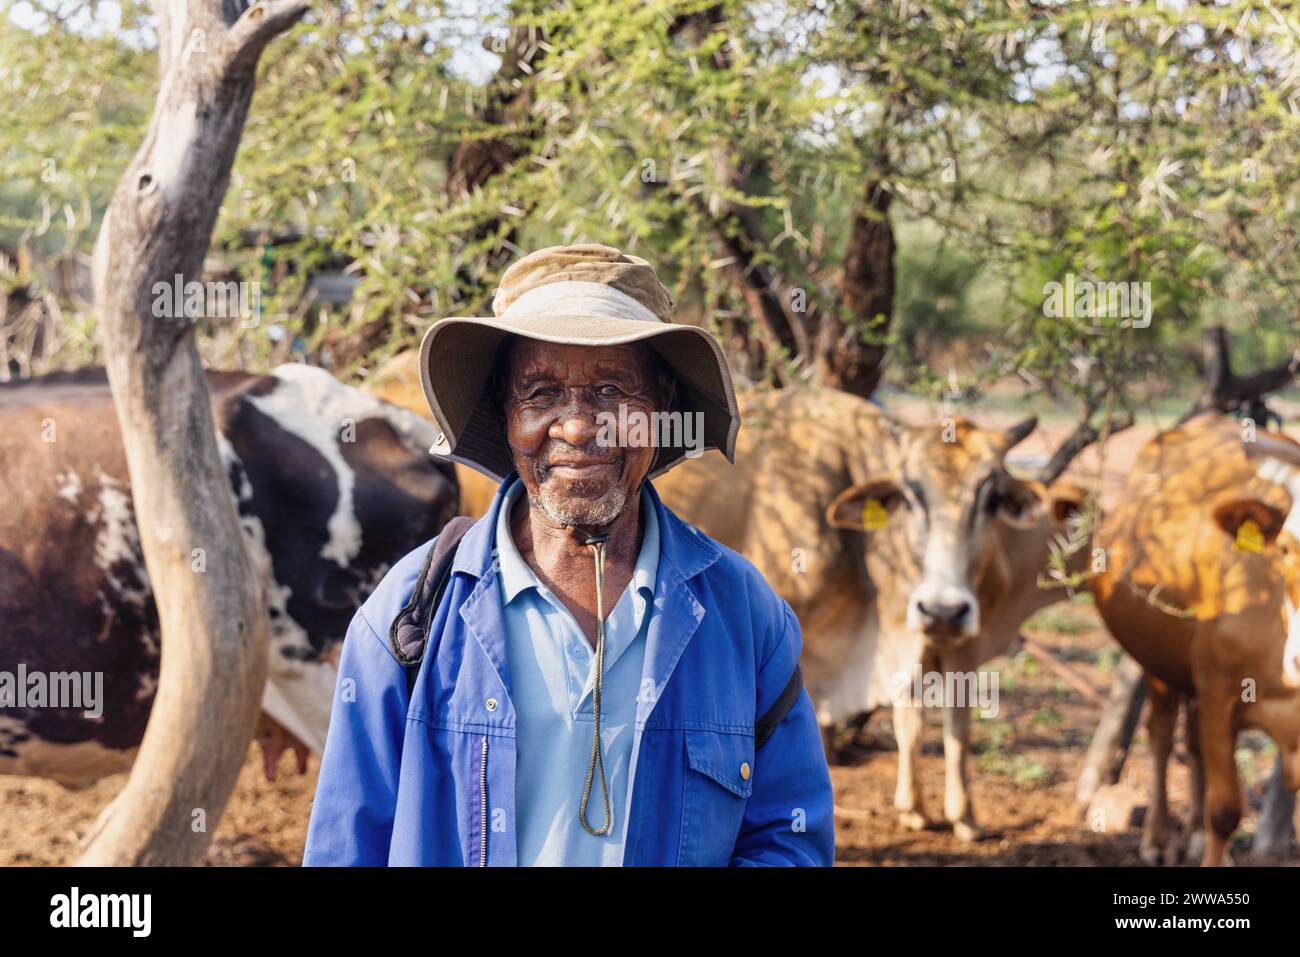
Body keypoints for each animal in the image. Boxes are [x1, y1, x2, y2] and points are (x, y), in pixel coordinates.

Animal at [1097, 416, 1300, 863]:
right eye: (1286, 548)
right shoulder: (1221, 691)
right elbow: (1224, 810)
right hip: (1157, 659)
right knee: (1161, 734)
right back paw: (1159, 839)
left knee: (1192, 741)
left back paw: (1193, 835)